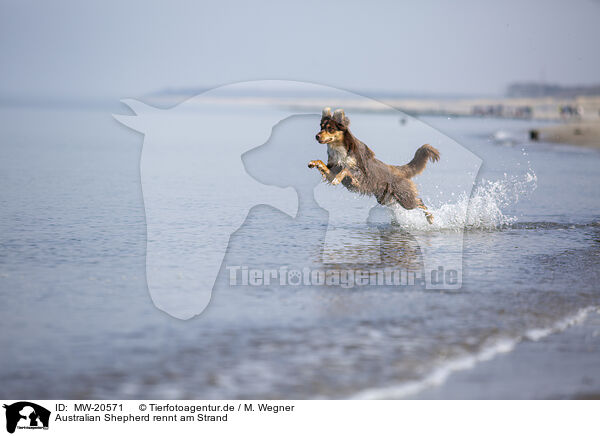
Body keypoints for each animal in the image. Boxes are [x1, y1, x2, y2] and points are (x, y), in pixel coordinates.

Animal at [308, 108, 438, 223]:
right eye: (321, 127)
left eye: (330, 129)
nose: (316, 136)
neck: (340, 150)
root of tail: (398, 169)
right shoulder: (333, 171)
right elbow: (324, 165)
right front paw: (314, 163)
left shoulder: (360, 176)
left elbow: (346, 170)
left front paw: (338, 178)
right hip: (387, 199)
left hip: (405, 198)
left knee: (420, 202)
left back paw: (431, 218)